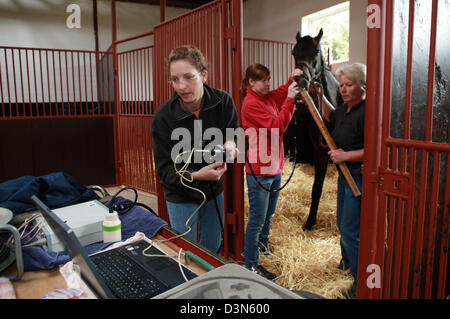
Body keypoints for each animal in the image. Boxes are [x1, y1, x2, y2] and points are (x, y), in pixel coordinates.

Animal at [284, 29, 342, 230]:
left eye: (317, 50)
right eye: (294, 52)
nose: (301, 80)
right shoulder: (321, 153)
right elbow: (316, 188)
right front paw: (309, 222)